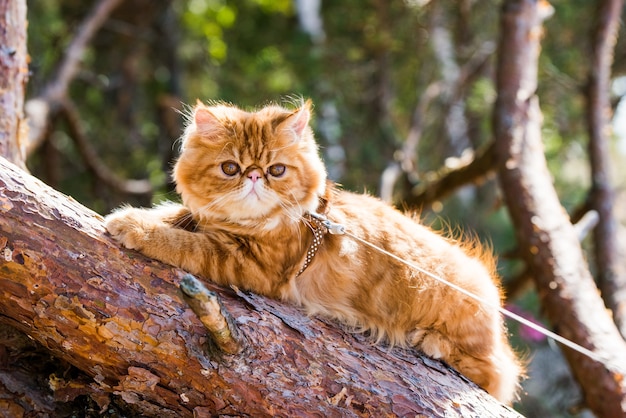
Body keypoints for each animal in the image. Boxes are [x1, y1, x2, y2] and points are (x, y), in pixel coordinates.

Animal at [105, 99, 520, 404]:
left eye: (276, 170)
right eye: (230, 168)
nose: (253, 176)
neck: (246, 224)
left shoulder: (247, 261)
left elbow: (182, 241)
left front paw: (135, 228)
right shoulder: (207, 223)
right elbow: (173, 215)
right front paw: (128, 215)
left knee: (496, 373)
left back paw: (431, 341)